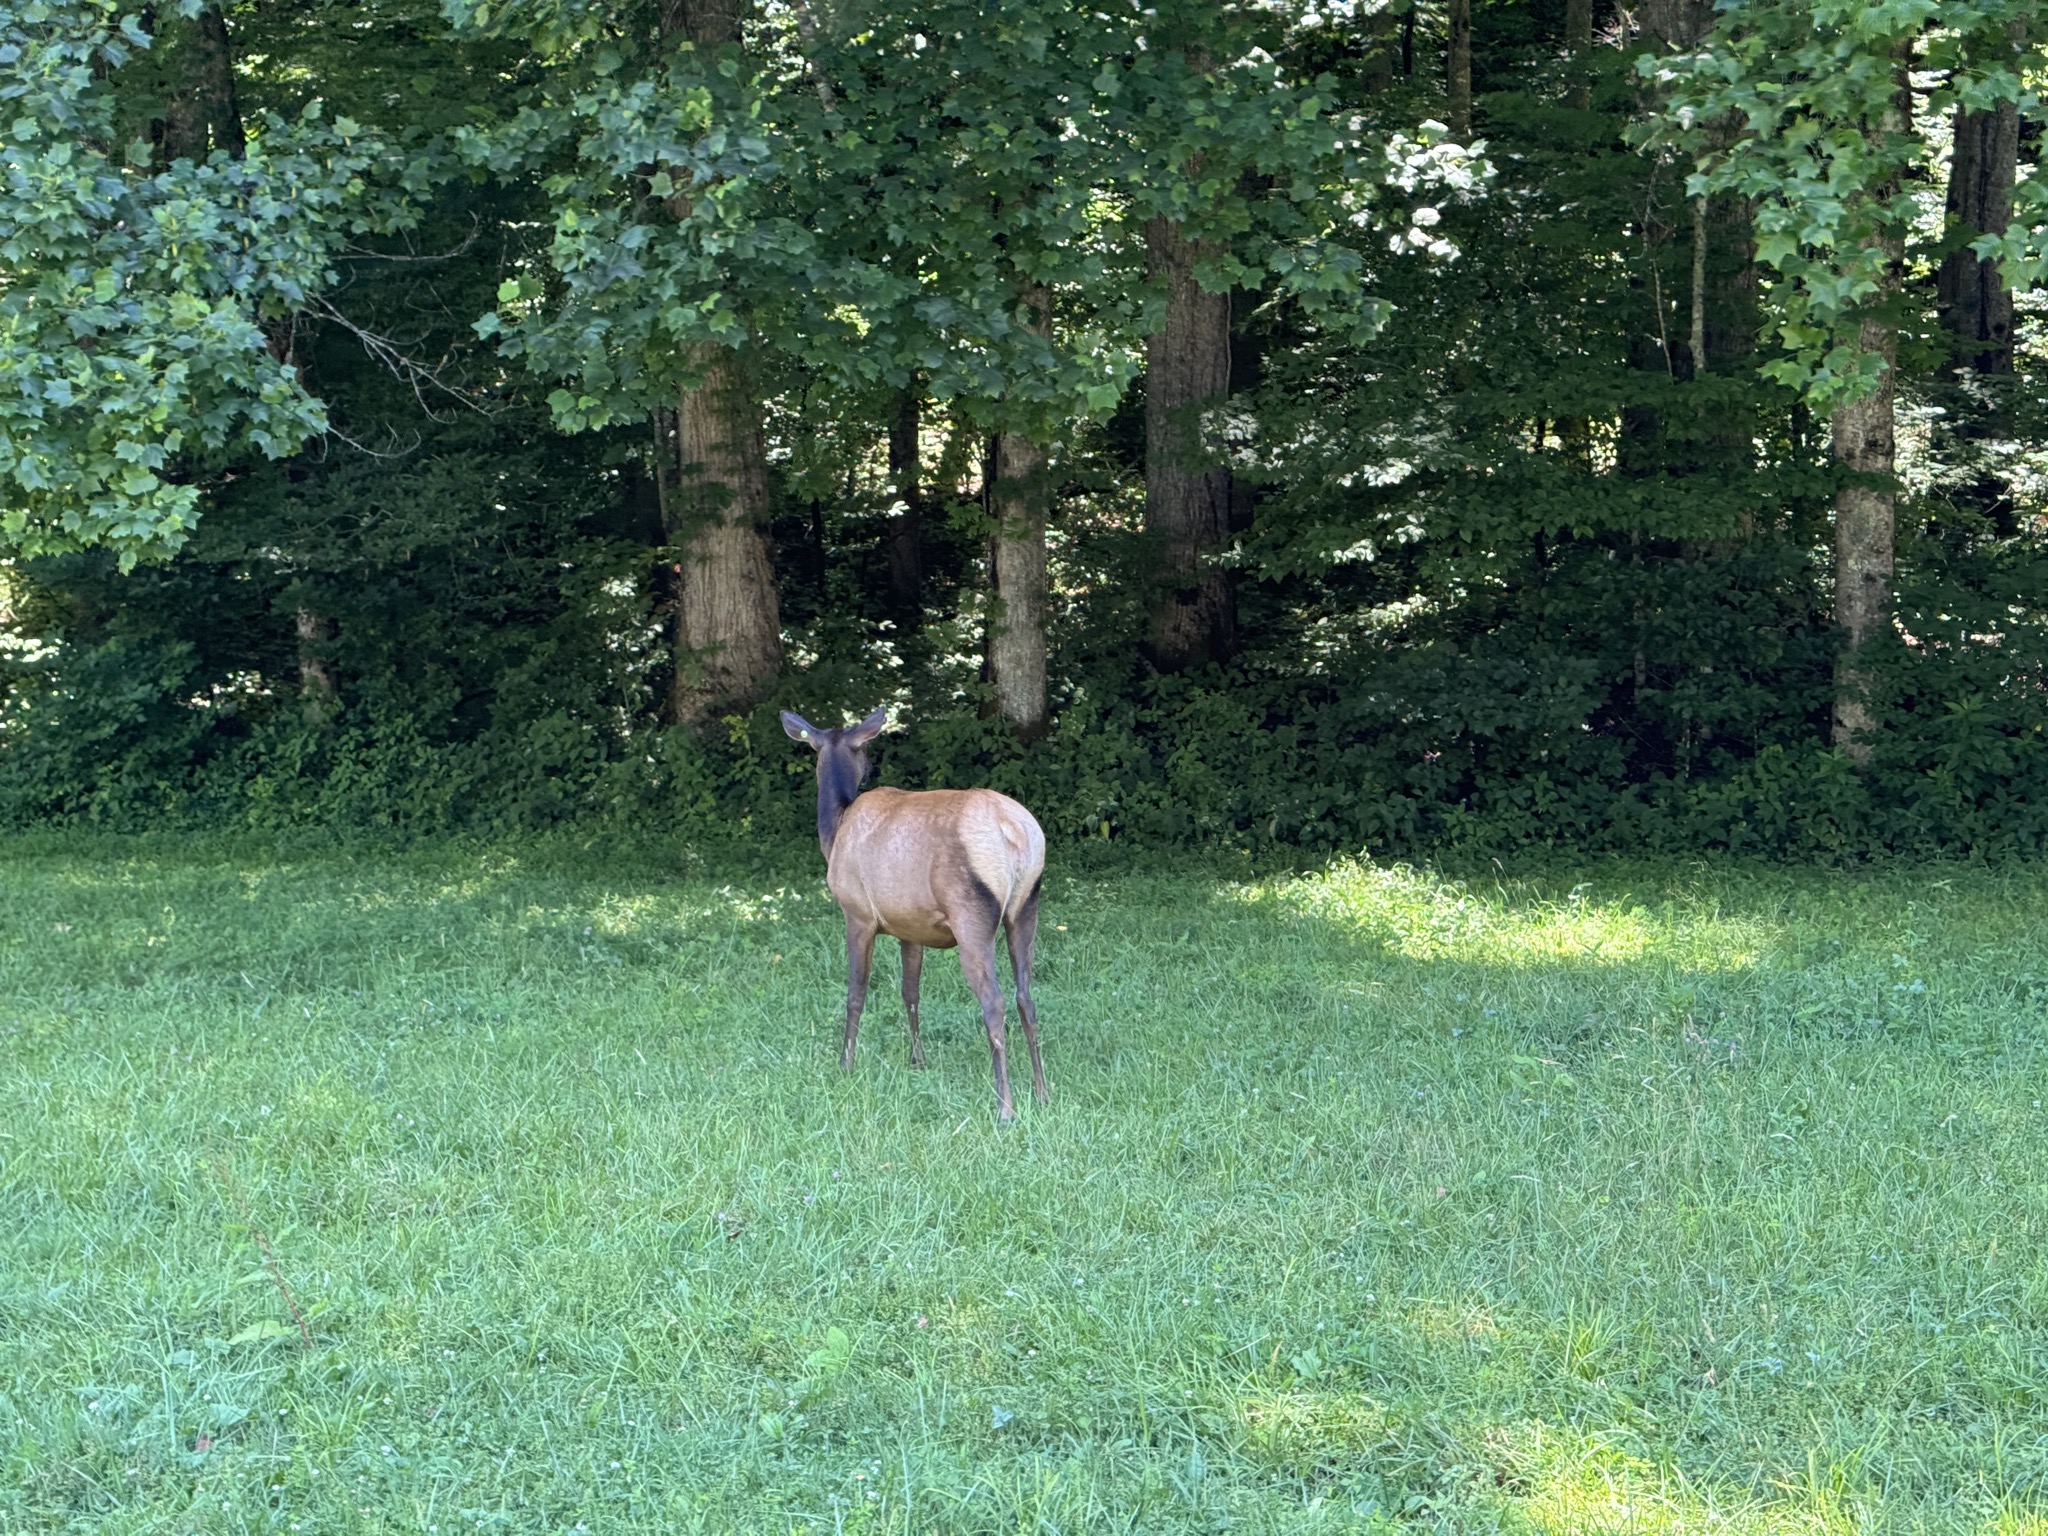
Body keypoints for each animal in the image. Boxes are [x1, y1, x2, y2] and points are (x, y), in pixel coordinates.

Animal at [781, 707, 1048, 1122]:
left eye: (863, 750)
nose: (871, 767)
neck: (834, 831)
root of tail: (1016, 835)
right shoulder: (911, 927)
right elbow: (910, 992)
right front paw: (917, 1060)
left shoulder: (857, 912)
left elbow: (855, 993)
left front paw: (846, 1064)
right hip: (1026, 907)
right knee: (1026, 997)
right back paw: (1042, 1092)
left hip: (971, 913)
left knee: (994, 1002)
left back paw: (1005, 1108)